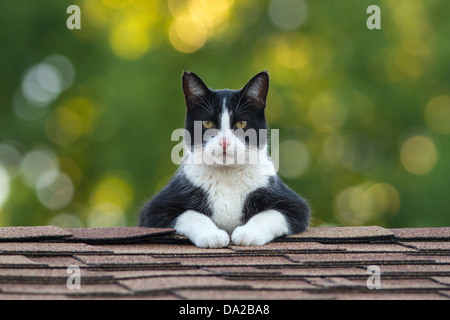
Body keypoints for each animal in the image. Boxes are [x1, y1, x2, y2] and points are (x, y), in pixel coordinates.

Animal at [140, 71, 310, 249]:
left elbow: (271, 213)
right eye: (207, 124)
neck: (227, 175)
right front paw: (212, 235)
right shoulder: (155, 209)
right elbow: (191, 214)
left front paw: (247, 233)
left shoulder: (295, 205)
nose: (224, 141)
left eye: (241, 123)